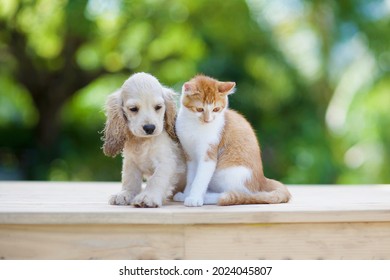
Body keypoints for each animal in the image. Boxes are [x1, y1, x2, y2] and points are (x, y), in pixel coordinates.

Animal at [100, 72, 186, 208]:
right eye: (133, 109)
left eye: (158, 107)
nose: (149, 128)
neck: (143, 142)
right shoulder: (131, 163)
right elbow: (130, 180)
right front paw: (125, 194)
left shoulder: (166, 162)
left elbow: (156, 179)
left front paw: (147, 197)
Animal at [172, 74, 290, 206]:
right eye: (199, 109)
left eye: (216, 109)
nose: (208, 120)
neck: (194, 125)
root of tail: (262, 180)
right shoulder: (190, 154)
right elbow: (191, 177)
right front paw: (186, 194)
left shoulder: (210, 153)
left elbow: (200, 179)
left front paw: (194, 198)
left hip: (228, 174)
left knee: (236, 193)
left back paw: (207, 197)